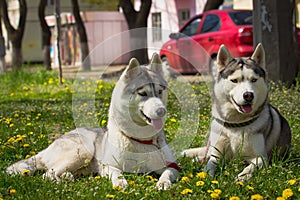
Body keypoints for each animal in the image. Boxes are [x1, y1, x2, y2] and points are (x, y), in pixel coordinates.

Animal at [6, 52, 180, 189]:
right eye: (143, 93)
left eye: (160, 91)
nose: (161, 111)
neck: (141, 140)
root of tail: (50, 146)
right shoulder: (108, 166)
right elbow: (117, 173)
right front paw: (120, 182)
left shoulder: (174, 168)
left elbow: (167, 172)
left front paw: (163, 183)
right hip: (82, 151)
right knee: (47, 174)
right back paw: (60, 182)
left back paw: (67, 177)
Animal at [182, 43, 292, 181]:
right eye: (234, 80)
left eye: (254, 80)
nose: (248, 95)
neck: (236, 124)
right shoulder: (217, 153)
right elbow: (210, 163)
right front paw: (206, 175)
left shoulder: (261, 157)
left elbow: (251, 167)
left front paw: (242, 177)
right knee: (205, 154)